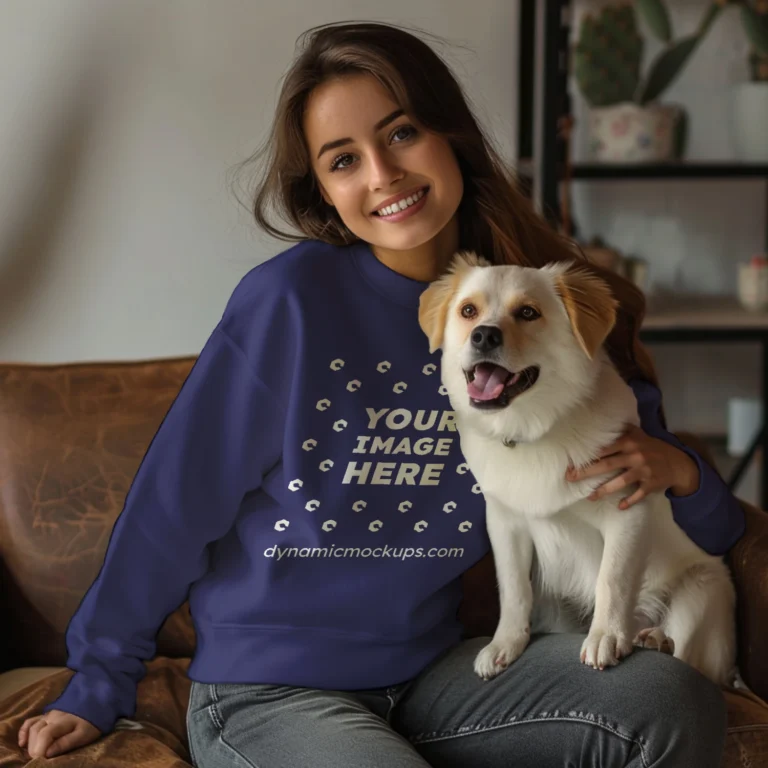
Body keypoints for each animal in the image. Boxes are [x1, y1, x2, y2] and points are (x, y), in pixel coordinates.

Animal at [420, 252, 736, 684]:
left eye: (528, 312)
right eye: (468, 311)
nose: (483, 336)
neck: (534, 430)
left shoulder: (626, 511)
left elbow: (612, 580)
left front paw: (606, 636)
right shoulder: (505, 524)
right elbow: (513, 589)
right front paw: (506, 644)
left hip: (701, 591)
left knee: (691, 657)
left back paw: (654, 639)